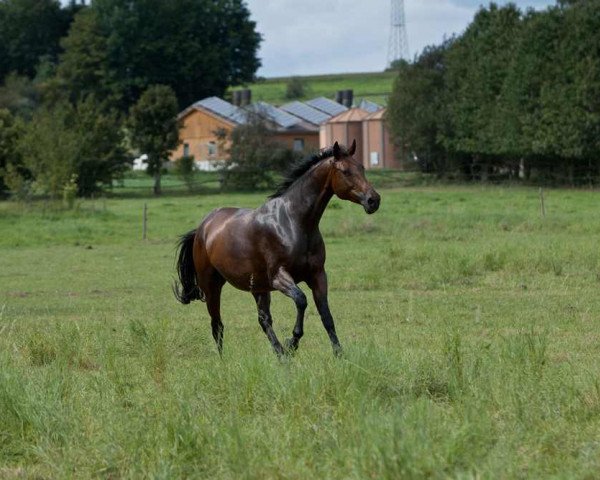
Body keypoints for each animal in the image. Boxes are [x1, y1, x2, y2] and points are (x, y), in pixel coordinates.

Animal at [173, 140, 380, 356]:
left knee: (263, 320)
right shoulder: (279, 277)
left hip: (258, 288)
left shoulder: (317, 275)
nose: (373, 200)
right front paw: (293, 342)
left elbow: (326, 315)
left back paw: (280, 354)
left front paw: (339, 353)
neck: (292, 222)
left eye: (362, 168)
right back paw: (228, 360)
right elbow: (301, 300)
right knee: (217, 325)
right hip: (211, 286)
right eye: (345, 171)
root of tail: (203, 228)